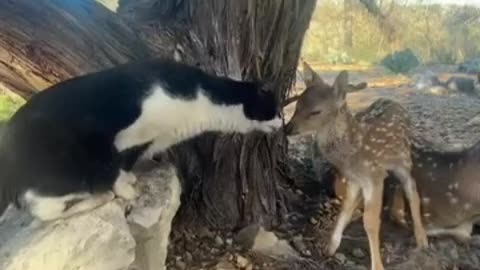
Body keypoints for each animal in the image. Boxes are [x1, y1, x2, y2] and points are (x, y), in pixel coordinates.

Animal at [0, 58, 282, 221]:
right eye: (277, 110)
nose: (282, 123)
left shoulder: (149, 140)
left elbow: (126, 164)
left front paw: (129, 180)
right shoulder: (125, 136)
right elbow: (116, 167)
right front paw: (126, 191)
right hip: (68, 167)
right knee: (46, 210)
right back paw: (97, 198)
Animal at [284, 63, 428, 270]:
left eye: (316, 112)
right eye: (297, 105)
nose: (288, 128)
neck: (352, 149)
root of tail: (399, 105)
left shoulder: (374, 176)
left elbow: (370, 221)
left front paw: (377, 265)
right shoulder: (354, 178)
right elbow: (345, 209)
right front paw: (330, 248)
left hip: (403, 159)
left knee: (412, 189)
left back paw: (422, 240)